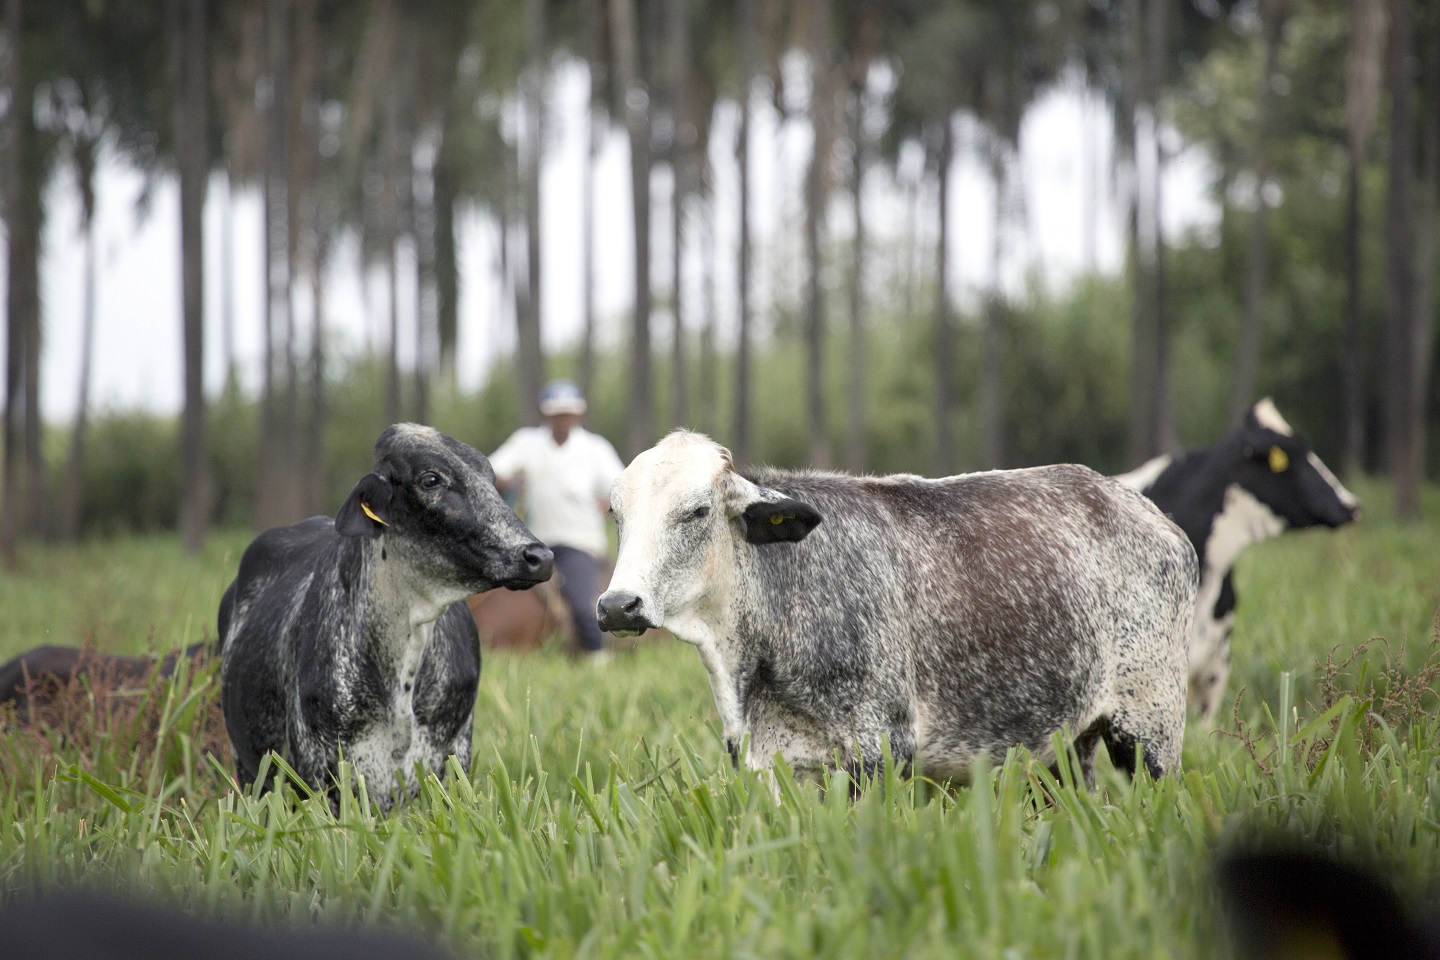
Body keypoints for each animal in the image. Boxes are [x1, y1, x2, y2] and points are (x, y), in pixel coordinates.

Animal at [590, 434, 1198, 788]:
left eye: (696, 511)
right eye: (617, 514)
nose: (618, 605)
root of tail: (1150, 514)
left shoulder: (880, 749)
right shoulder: (776, 769)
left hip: (1151, 731)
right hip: (1068, 752)